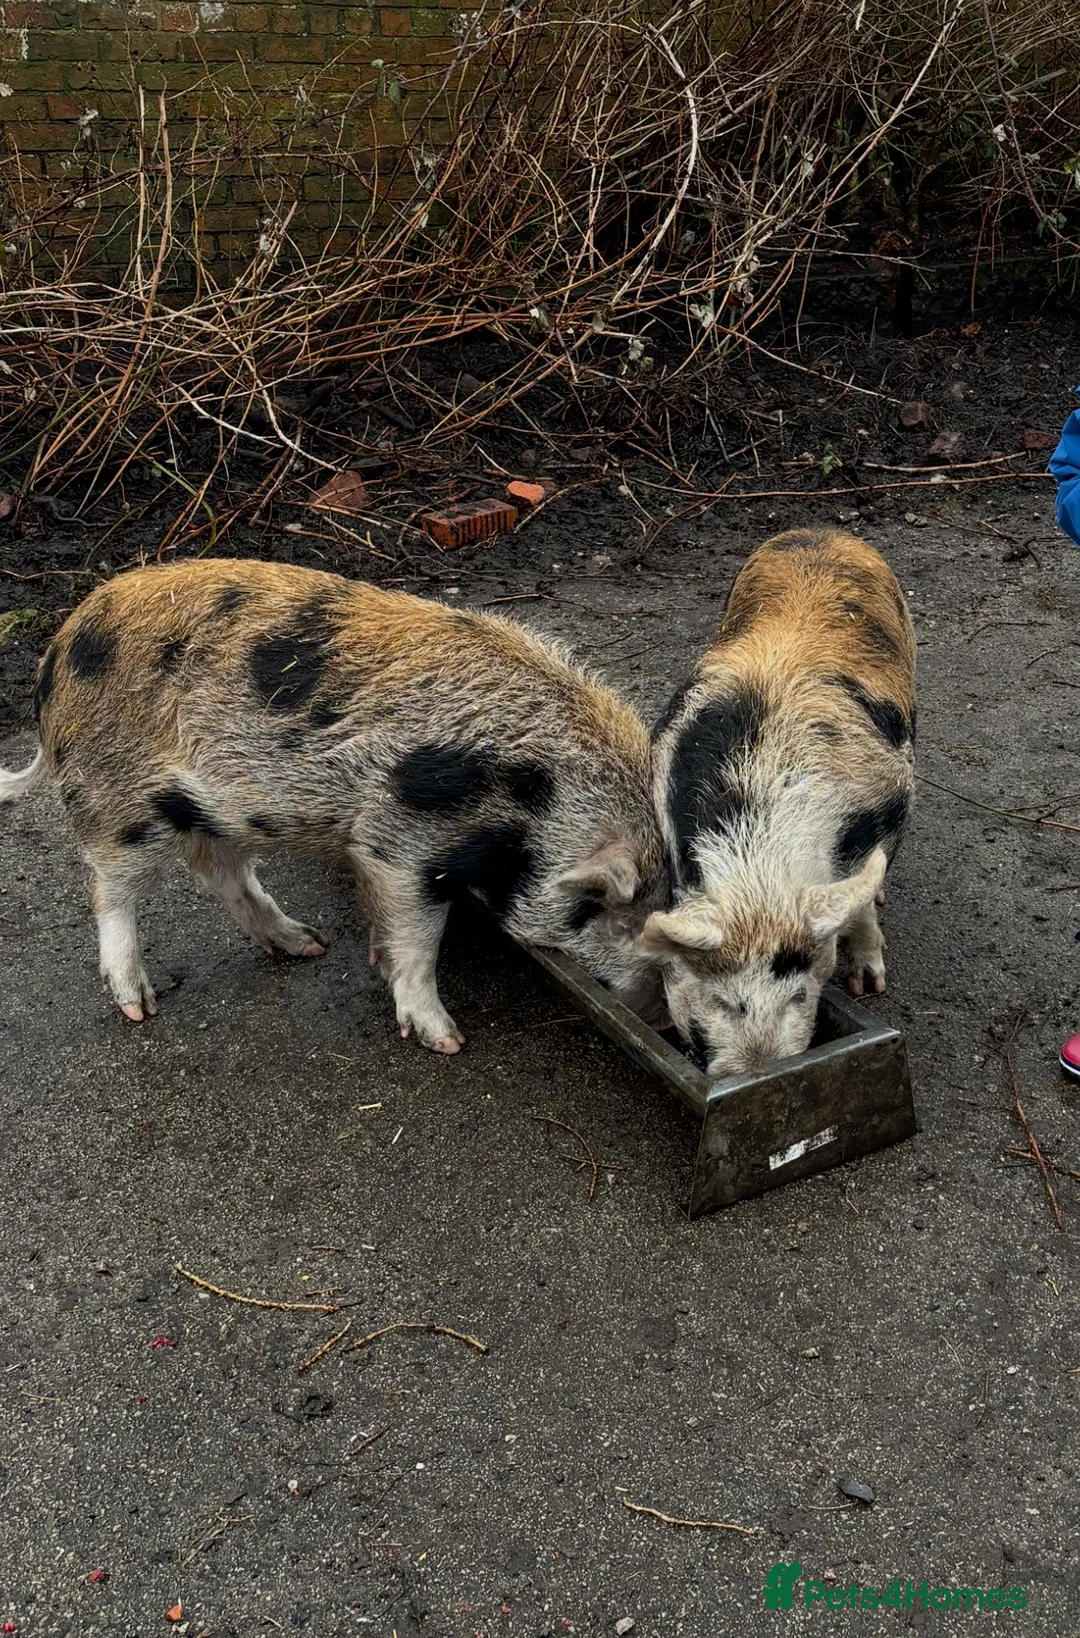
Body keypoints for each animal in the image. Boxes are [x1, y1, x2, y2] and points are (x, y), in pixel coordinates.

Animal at [0, 559, 667, 1050]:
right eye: (611, 912)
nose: (659, 1017)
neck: (536, 797)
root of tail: (55, 653)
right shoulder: (402, 842)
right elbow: (421, 938)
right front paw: (446, 1040)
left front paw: (373, 960)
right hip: (120, 800)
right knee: (108, 889)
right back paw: (139, 1006)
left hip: (220, 810)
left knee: (220, 871)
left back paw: (305, 945)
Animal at [643, 528, 916, 1079]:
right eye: (721, 1000)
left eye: (799, 995)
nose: (757, 1068)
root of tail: (819, 531)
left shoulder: (894, 797)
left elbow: (859, 906)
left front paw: (867, 986)